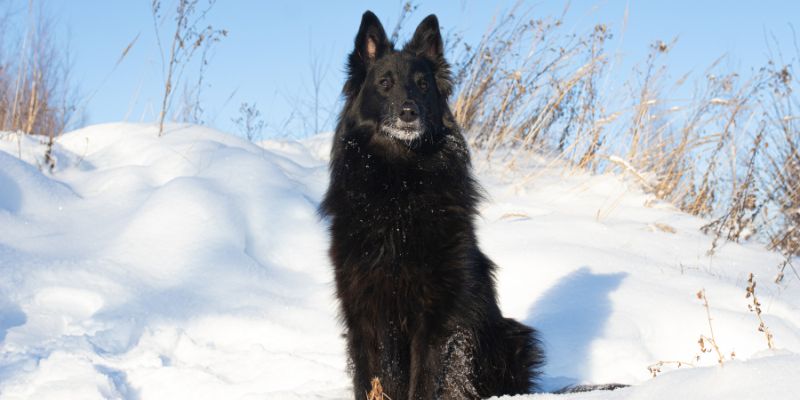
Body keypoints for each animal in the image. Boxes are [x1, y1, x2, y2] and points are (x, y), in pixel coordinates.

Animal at [318, 10, 544, 398]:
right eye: (385, 83)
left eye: (423, 85)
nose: (410, 112)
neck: (399, 185)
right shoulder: (365, 309)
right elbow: (372, 378)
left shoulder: (438, 312)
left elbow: (426, 379)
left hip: (514, 339)